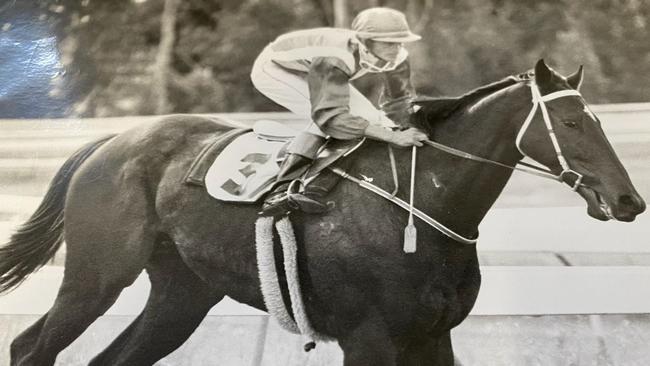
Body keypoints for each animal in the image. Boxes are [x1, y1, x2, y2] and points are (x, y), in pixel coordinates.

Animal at [0, 58, 644, 364]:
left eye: (596, 119)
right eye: (570, 122)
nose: (629, 200)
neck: (418, 211)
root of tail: (108, 144)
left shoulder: (432, 336)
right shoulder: (369, 340)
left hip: (181, 295)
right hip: (96, 277)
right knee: (31, 347)